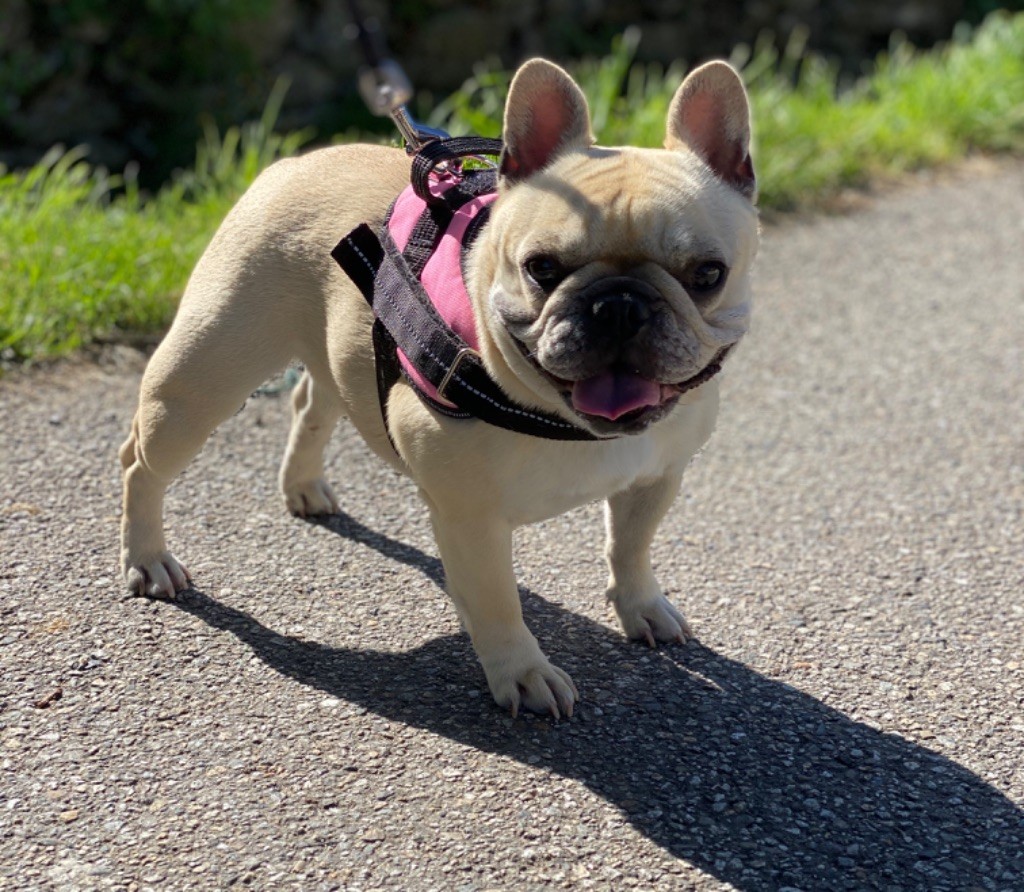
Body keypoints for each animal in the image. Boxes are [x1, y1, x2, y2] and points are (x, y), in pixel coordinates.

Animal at [119, 57, 759, 717]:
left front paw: (642, 607)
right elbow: (498, 602)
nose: (620, 307)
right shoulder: (471, 519)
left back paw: (303, 485)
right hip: (200, 382)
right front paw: (523, 674)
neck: (566, 420)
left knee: (311, 401)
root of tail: (290, 165)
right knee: (141, 463)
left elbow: (630, 548)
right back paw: (149, 559)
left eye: (708, 275)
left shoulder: (656, 476)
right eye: (542, 268)